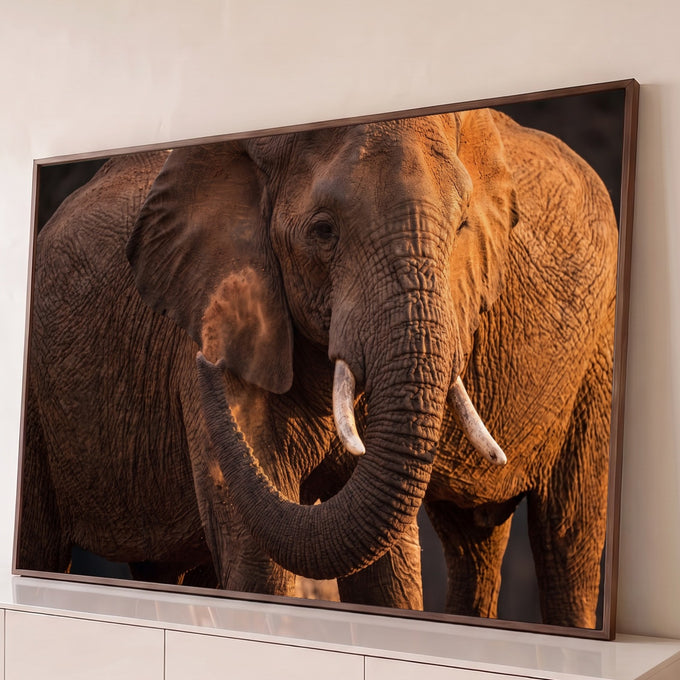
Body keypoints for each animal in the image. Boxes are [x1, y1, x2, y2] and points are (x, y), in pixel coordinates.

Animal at [17, 106, 617, 629]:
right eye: (323, 231)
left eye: (462, 226)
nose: (205, 357)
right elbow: (260, 557)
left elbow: (387, 571)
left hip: (600, 352)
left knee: (563, 537)